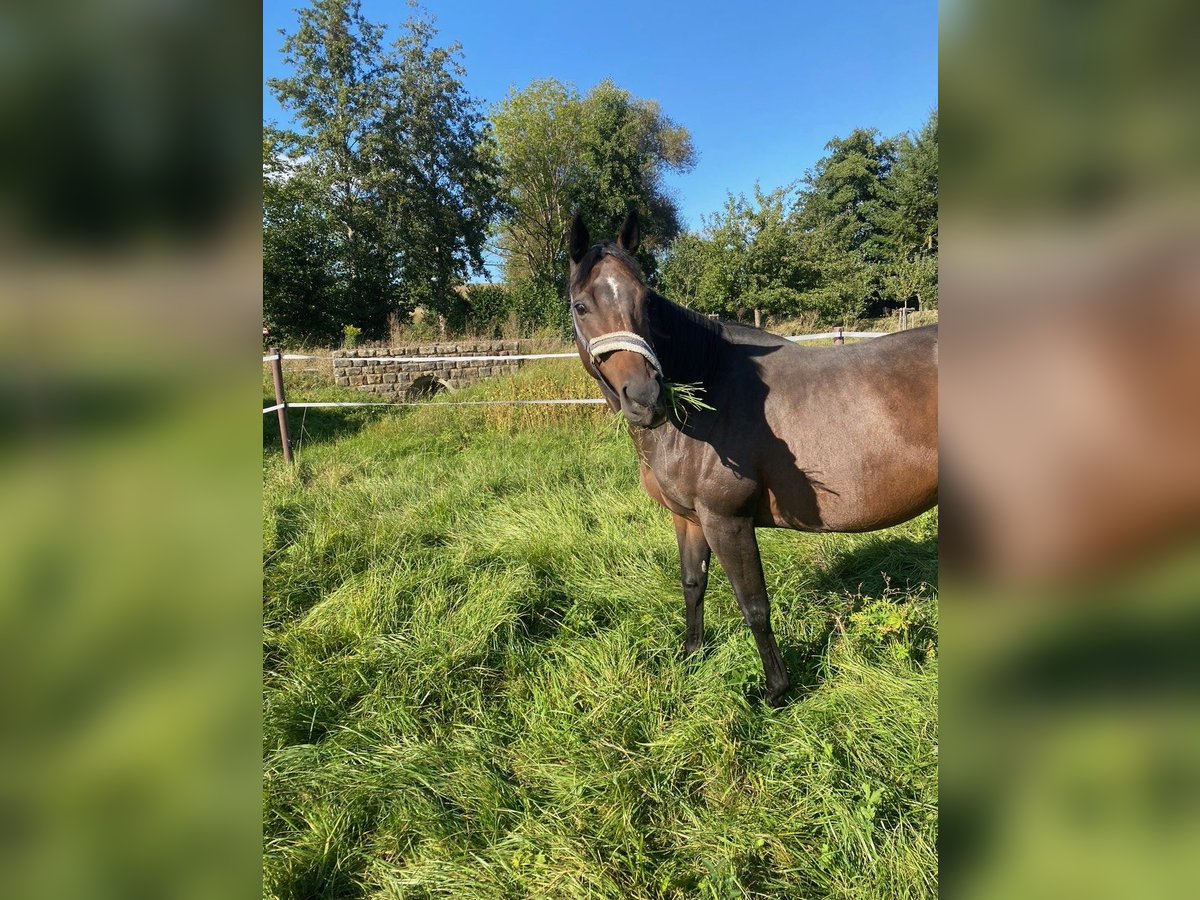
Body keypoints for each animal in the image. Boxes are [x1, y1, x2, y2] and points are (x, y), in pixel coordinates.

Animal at [568, 210, 936, 705]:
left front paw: (776, 690)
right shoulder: (688, 518)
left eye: (645, 301)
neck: (709, 388)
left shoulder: (728, 520)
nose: (646, 398)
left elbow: (754, 605)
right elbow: (693, 584)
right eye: (581, 306)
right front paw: (691, 656)